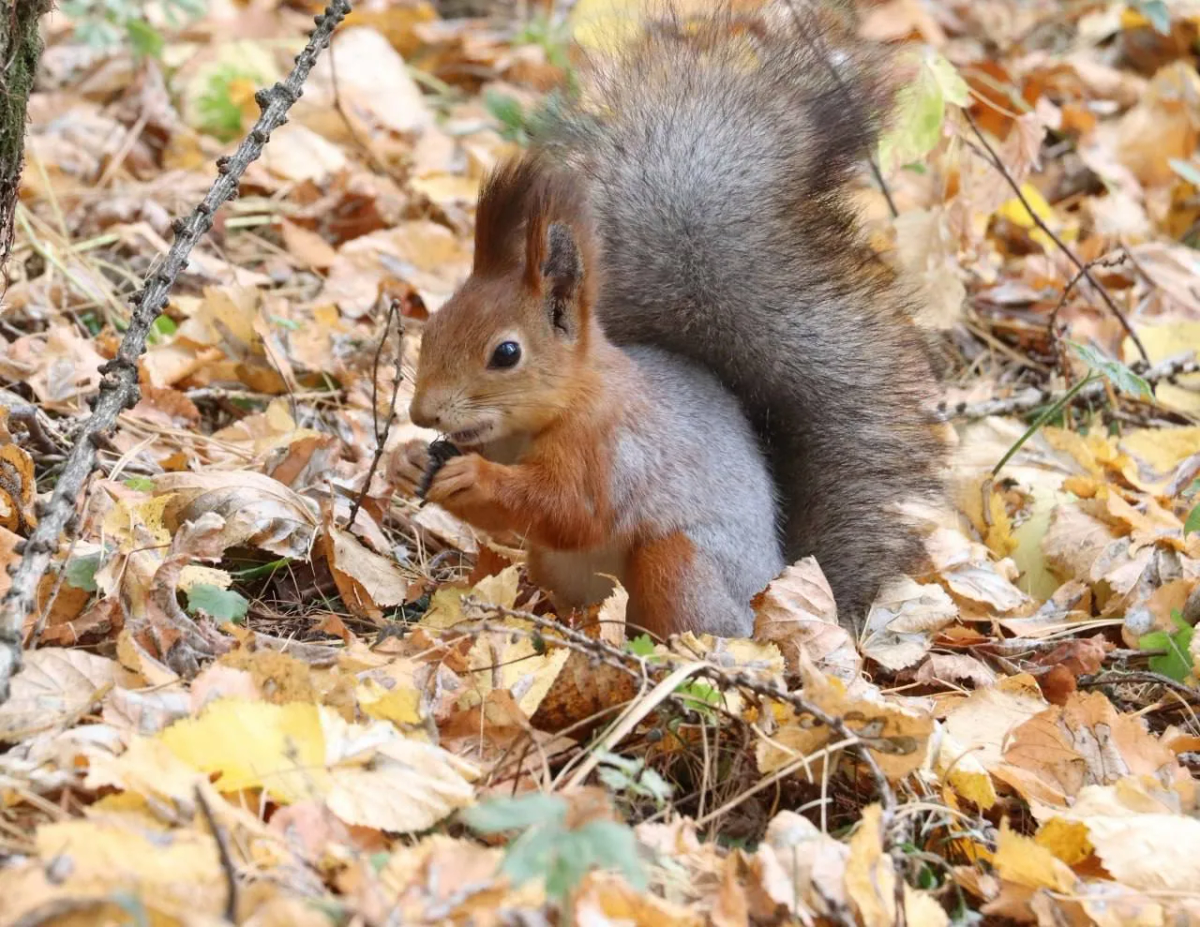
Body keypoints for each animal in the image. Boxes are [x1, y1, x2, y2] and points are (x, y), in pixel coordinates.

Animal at [393, 3, 945, 638]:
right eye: (433, 325)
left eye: (506, 353)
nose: (423, 413)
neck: (555, 409)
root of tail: (768, 603)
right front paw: (409, 460)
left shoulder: (610, 449)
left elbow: (570, 512)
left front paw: (470, 479)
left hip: (676, 565)